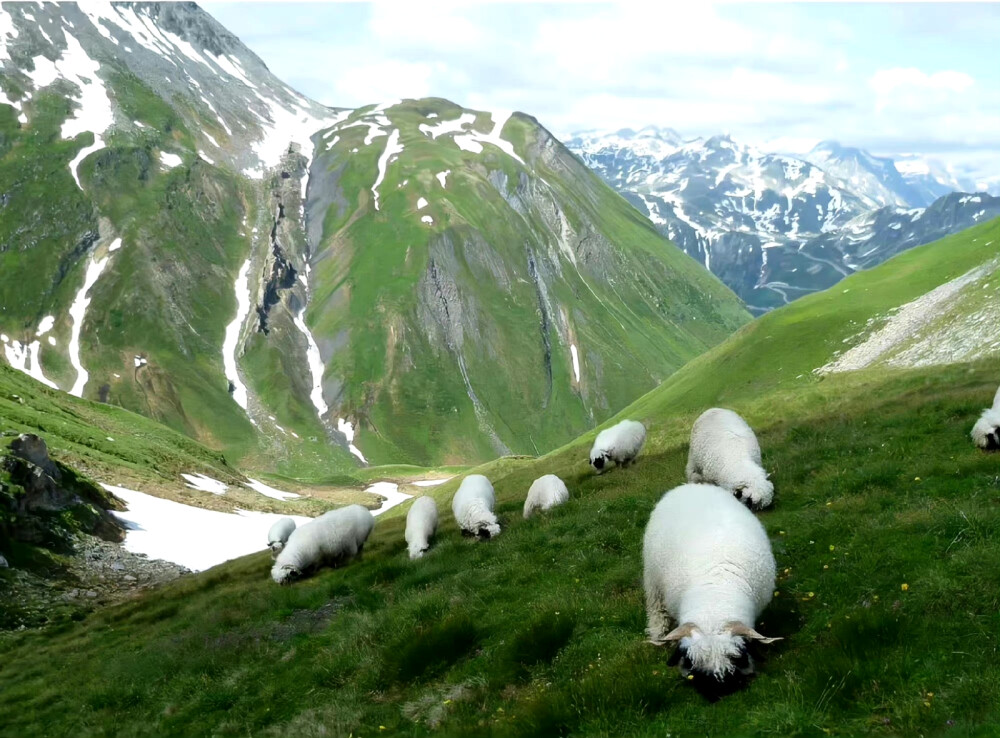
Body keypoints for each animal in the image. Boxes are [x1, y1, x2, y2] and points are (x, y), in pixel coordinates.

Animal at [640, 480, 780, 688]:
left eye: (737, 658)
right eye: (689, 661)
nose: (717, 687)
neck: (715, 599)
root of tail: (691, 486)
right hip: (652, 577)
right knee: (656, 608)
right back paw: (658, 633)